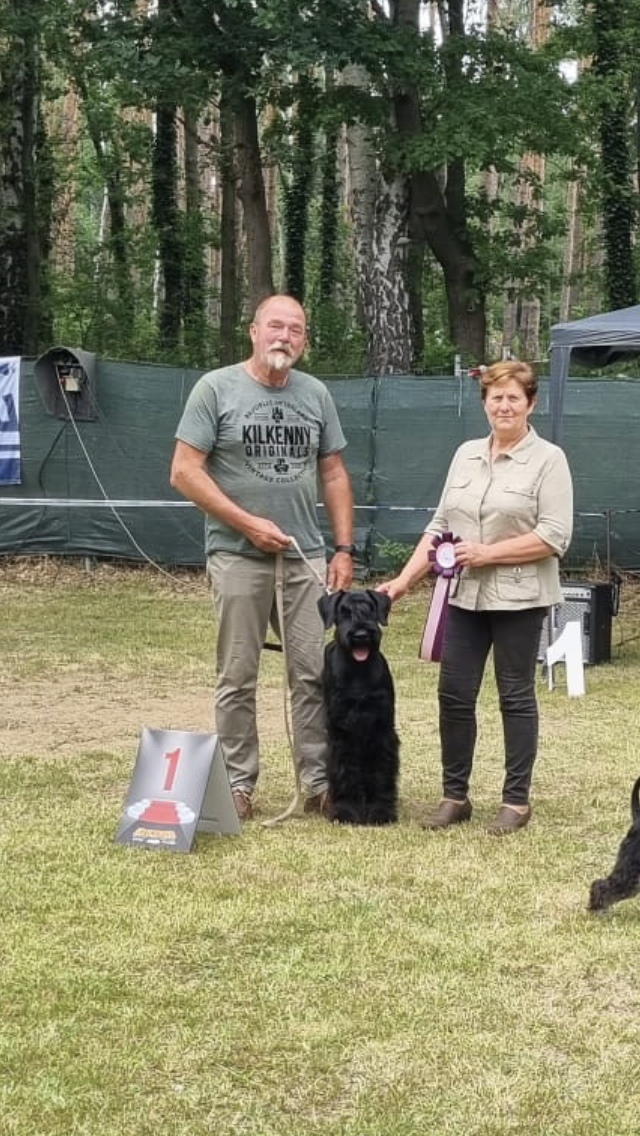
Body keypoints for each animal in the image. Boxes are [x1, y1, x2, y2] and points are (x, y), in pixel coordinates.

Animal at [317, 589, 399, 825]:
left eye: (370, 609)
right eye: (344, 611)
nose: (361, 635)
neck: (357, 671)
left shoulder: (382, 730)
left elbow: (381, 771)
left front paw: (381, 810)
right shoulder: (341, 732)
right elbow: (344, 771)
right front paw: (346, 810)